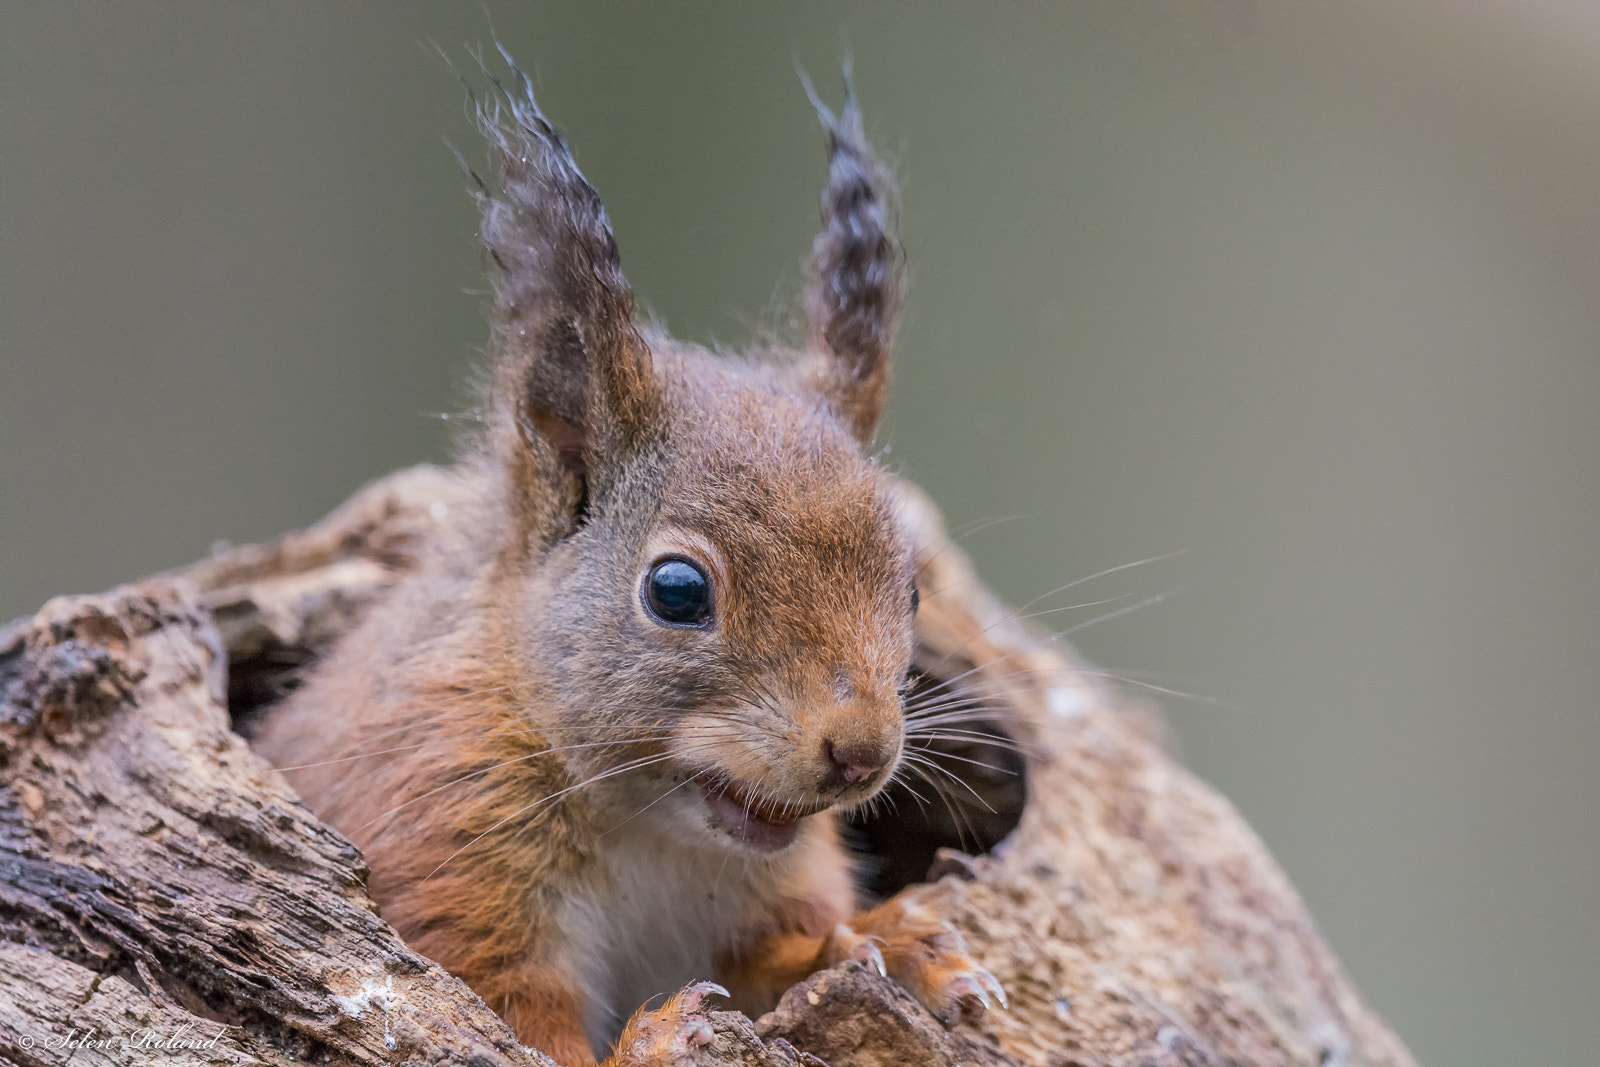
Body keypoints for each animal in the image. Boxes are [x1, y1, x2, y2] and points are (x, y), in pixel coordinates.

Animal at [252, 60, 998, 1067]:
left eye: (913, 588)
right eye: (675, 591)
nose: (861, 753)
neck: (652, 828)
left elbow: (779, 958)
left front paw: (889, 947)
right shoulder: (439, 845)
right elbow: (520, 1028)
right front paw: (662, 1035)